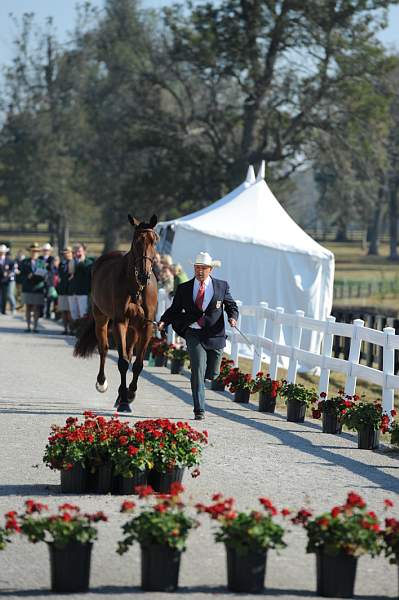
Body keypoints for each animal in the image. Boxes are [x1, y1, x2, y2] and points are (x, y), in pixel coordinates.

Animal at [74, 214, 159, 412]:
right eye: (136, 241)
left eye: (154, 240)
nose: (144, 275)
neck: (136, 288)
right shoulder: (120, 322)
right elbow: (122, 362)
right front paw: (125, 402)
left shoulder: (146, 326)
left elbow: (137, 364)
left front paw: (130, 394)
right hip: (101, 317)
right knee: (104, 349)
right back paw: (103, 383)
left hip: (134, 328)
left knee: (128, 351)